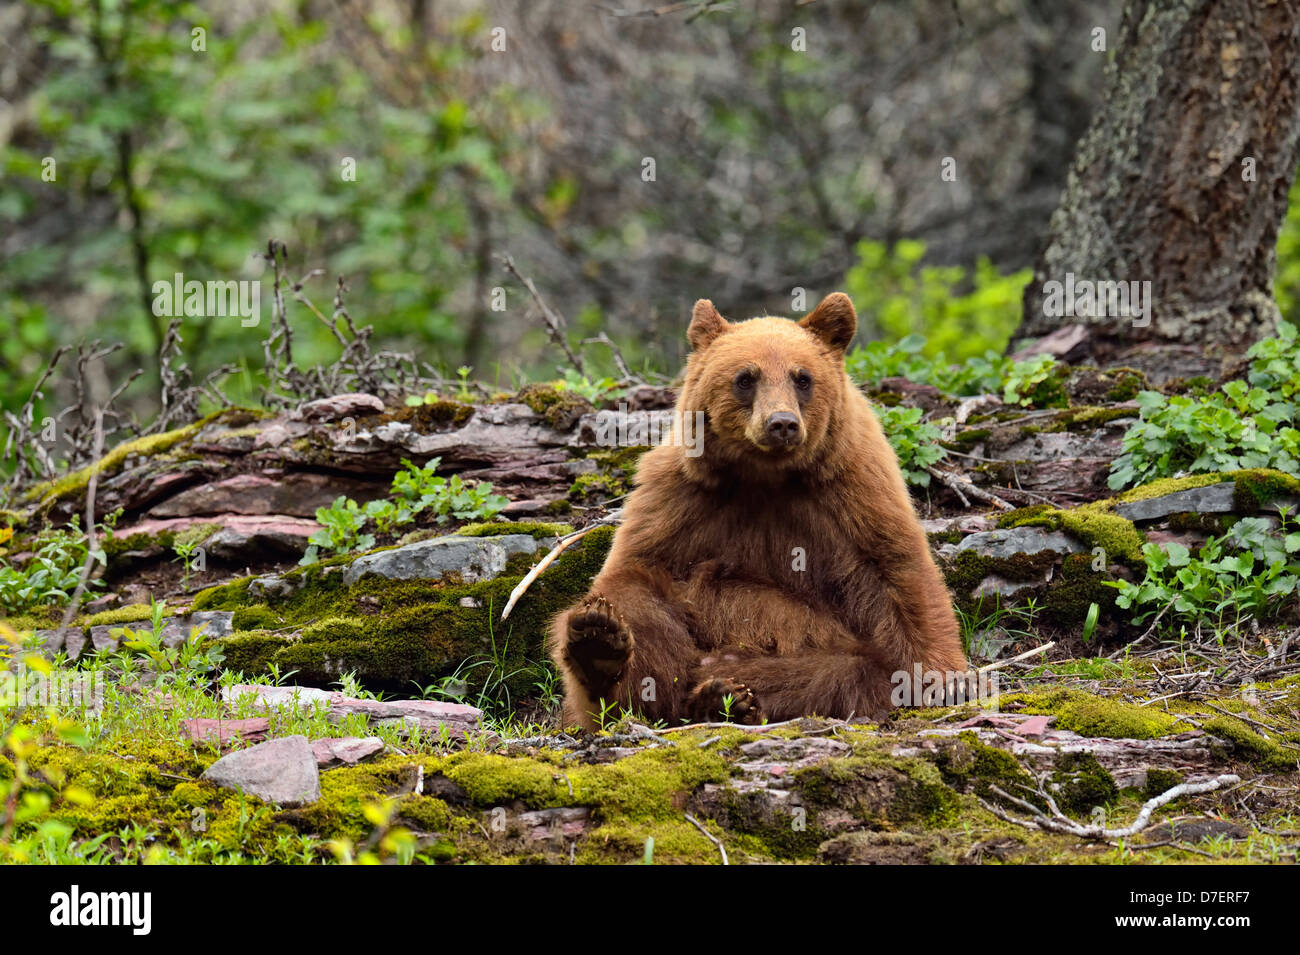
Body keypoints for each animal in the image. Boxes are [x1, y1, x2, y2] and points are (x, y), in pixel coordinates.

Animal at [548, 294, 967, 727]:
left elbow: (897, 572)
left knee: (837, 672)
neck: (766, 477)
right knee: (639, 610)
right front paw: (601, 638)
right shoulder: (678, 496)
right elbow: (632, 569)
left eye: (803, 378)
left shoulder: (854, 491)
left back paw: (722, 696)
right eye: (746, 378)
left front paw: (939, 680)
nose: (781, 423)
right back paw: (603, 648)